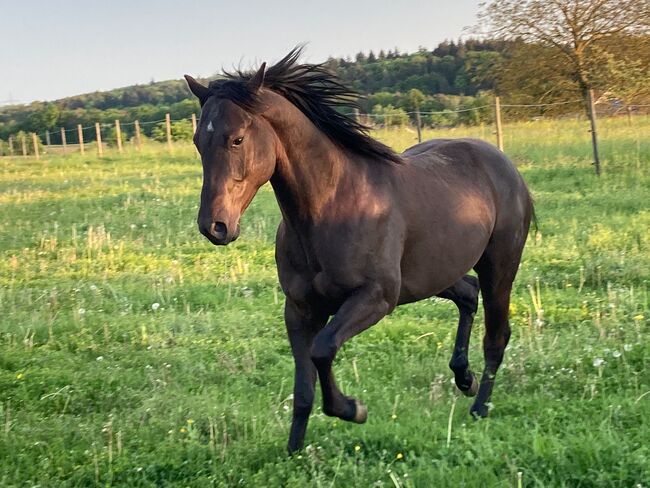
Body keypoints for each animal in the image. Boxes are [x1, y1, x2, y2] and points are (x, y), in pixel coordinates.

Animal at [185, 49, 536, 454]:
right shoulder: (299, 309)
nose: (214, 226)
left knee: (496, 336)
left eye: (238, 139)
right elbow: (303, 386)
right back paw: (465, 378)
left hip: (498, 269)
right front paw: (294, 449)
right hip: (428, 276)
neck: (330, 207)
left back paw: (479, 406)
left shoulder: (376, 298)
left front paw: (353, 409)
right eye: (198, 141)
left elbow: (322, 350)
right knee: (467, 293)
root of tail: (503, 163)